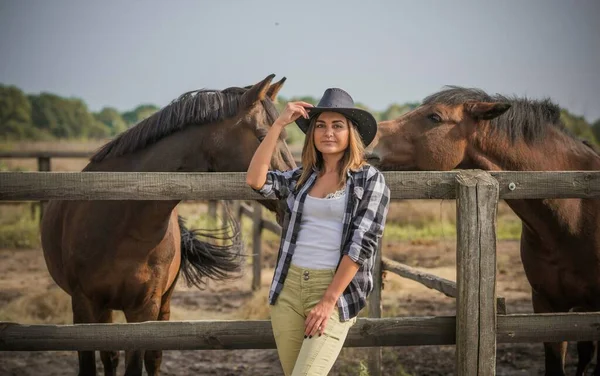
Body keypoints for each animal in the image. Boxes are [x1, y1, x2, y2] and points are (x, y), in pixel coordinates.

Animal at [38, 74, 296, 376]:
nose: (296, 189)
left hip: (163, 302)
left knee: (151, 358)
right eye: (264, 138)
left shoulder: (144, 310)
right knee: (110, 356)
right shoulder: (83, 306)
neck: (120, 219)